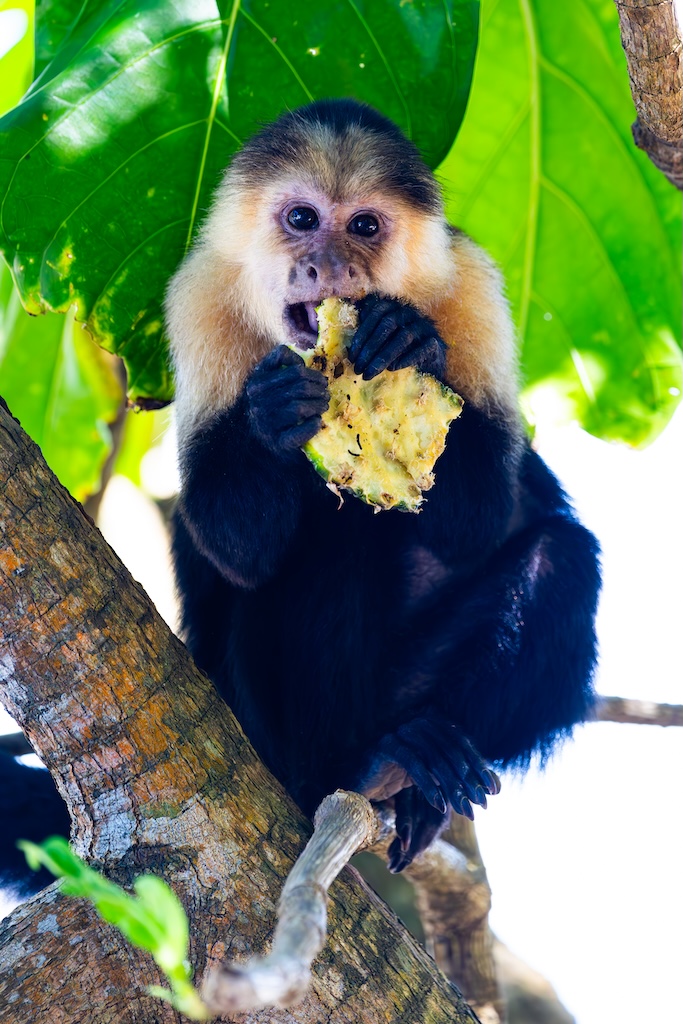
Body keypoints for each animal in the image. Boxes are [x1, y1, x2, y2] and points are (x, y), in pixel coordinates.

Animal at [0, 99, 601, 892]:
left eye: (365, 226)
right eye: (301, 218)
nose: (329, 265)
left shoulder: (473, 288)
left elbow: (478, 521)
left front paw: (412, 341)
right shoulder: (197, 300)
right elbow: (235, 547)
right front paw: (273, 414)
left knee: (559, 557)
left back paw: (407, 770)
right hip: (260, 721)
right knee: (325, 545)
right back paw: (347, 769)